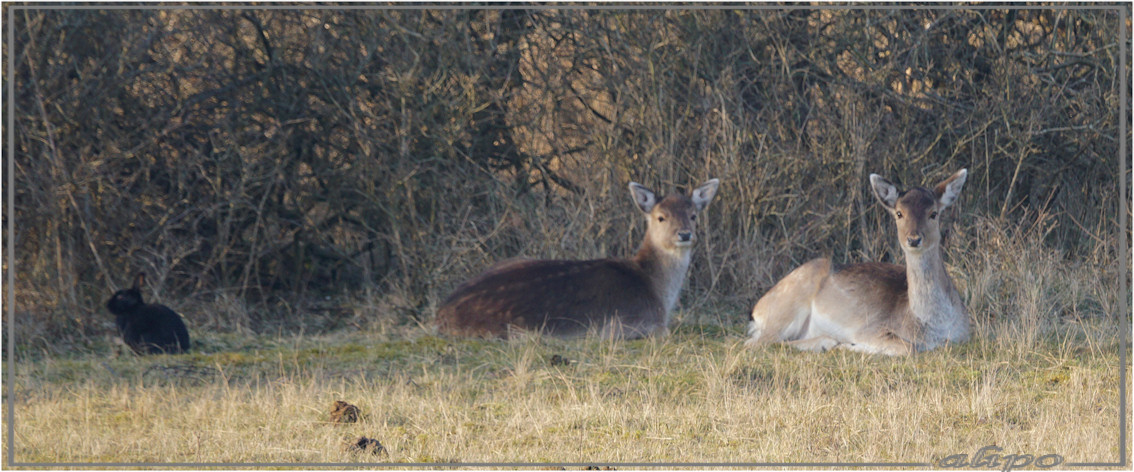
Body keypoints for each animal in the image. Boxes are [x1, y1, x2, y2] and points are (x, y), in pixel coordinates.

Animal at [433, 178, 716, 340]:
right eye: (661, 217)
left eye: (693, 215)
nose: (685, 234)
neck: (657, 291)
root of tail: (440, 315)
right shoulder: (626, 324)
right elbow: (664, 331)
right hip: (516, 331)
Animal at [748, 170, 970, 354]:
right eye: (899, 213)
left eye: (934, 213)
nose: (914, 239)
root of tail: (757, 310)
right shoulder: (870, 329)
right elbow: (908, 348)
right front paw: (848, 345)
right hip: (785, 311)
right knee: (757, 343)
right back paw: (828, 342)